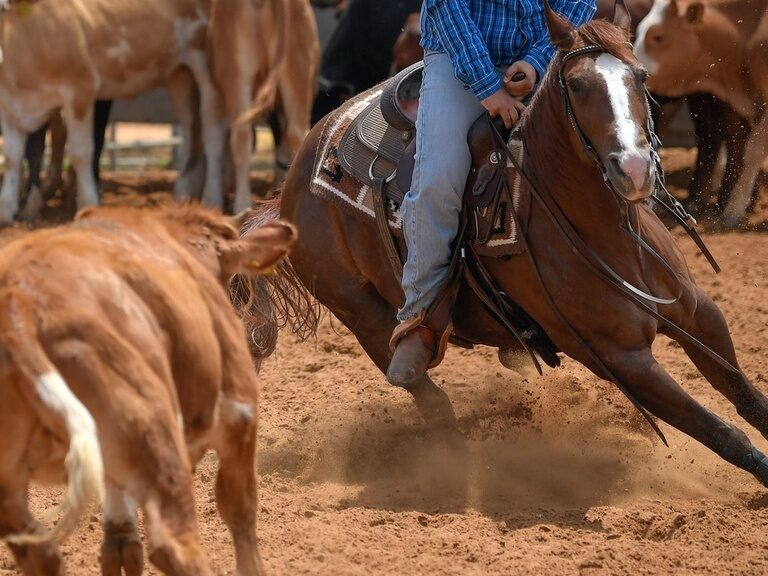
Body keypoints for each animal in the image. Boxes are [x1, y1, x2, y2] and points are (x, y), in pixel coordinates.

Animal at [240, 1, 768, 487]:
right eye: (577, 85)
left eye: (639, 76)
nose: (635, 170)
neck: (610, 233)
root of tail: (291, 186)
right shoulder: (621, 358)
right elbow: (723, 433)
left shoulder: (699, 314)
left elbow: (745, 396)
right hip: (360, 313)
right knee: (429, 397)